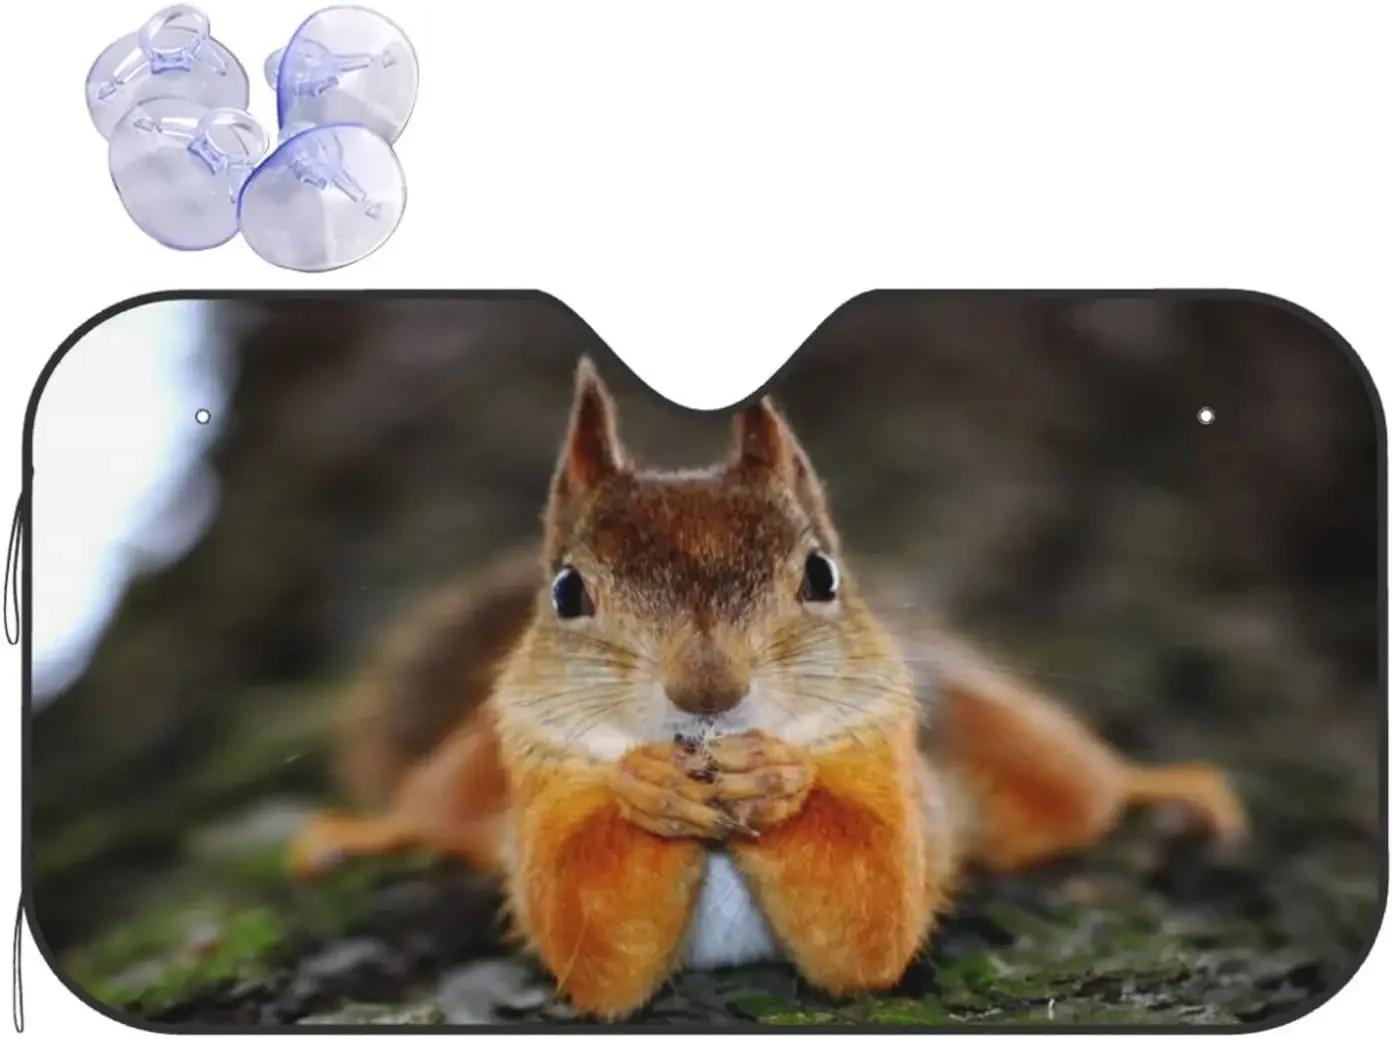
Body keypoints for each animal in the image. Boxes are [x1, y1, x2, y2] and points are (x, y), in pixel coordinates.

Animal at [286, 355, 1248, 1021]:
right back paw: (357, 834)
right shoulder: (539, 777)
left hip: (1009, 739)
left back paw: (1170, 787)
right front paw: (648, 787)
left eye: (821, 574)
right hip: (467, 773)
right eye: (565, 591)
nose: (707, 690)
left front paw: (779, 782)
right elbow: (591, 940)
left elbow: (872, 915)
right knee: (430, 812)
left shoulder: (890, 764)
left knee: (1081, 787)